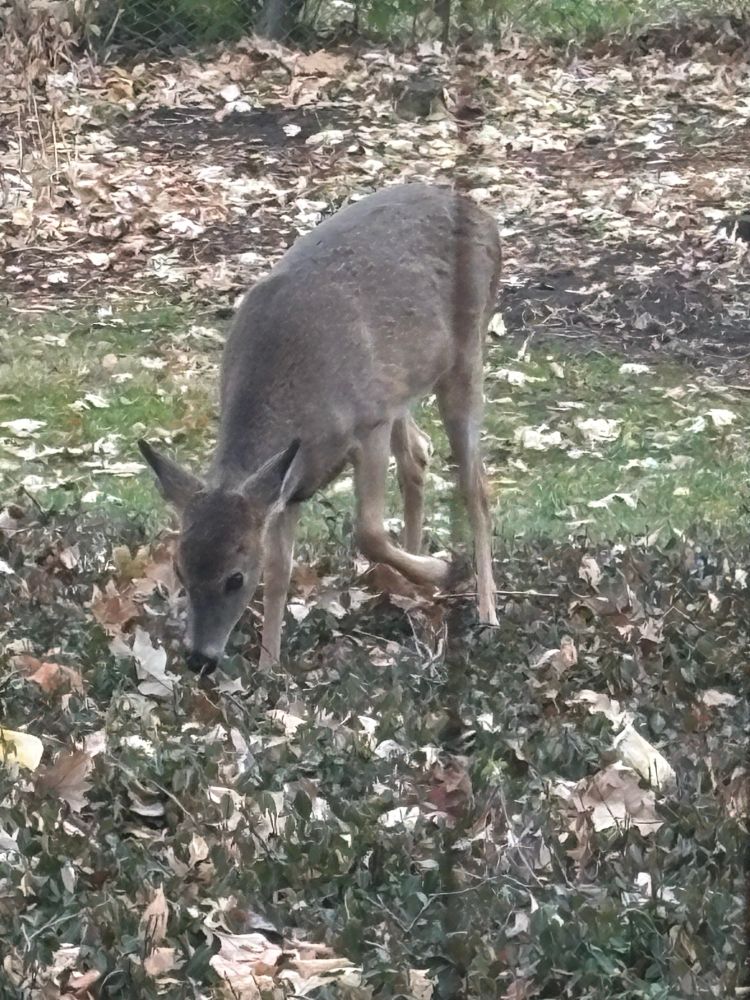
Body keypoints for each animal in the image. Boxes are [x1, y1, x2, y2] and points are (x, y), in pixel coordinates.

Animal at [138, 183, 501, 676]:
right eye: (180, 568)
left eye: (235, 578)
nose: (199, 659)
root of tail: (487, 219)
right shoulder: (289, 481)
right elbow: (279, 571)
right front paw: (268, 668)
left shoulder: (368, 423)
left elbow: (368, 531)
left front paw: (447, 568)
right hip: (404, 381)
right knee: (419, 454)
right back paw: (412, 591)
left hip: (466, 356)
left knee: (475, 485)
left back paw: (485, 610)